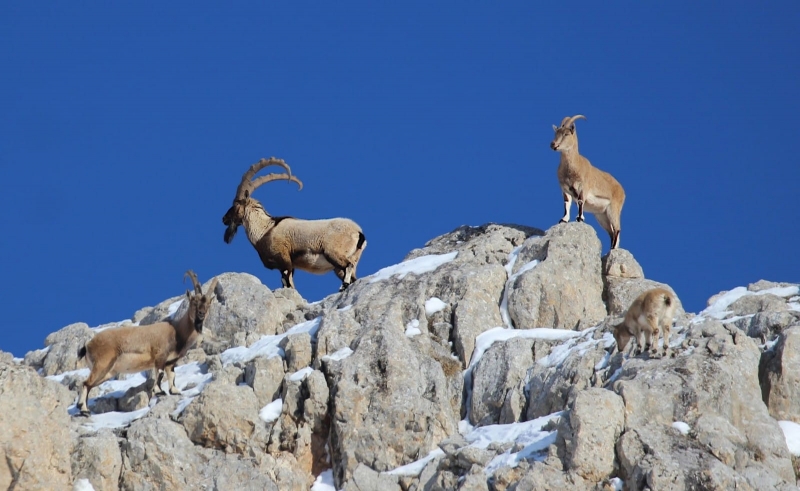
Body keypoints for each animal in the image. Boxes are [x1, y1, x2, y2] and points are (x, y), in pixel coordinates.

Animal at [75, 270, 217, 418]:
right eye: (194, 302)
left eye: (208, 304)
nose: (201, 314)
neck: (177, 332)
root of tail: (88, 345)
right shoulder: (160, 356)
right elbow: (160, 374)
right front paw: (159, 391)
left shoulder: (170, 362)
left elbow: (172, 376)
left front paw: (174, 391)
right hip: (102, 364)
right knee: (85, 383)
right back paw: (84, 410)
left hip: (107, 372)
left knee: (89, 385)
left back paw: (82, 408)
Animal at [220, 160, 368, 294]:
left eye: (236, 205)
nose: (224, 219)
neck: (265, 230)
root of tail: (358, 233)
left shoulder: (284, 259)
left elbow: (287, 282)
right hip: (346, 262)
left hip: (333, 253)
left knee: (348, 266)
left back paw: (343, 286)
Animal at [552, 116, 624, 250]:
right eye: (556, 133)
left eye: (566, 134)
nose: (553, 144)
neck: (574, 166)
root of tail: (622, 191)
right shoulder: (565, 189)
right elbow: (566, 203)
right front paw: (564, 220)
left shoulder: (583, 188)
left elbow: (580, 202)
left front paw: (579, 218)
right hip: (601, 215)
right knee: (611, 232)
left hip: (613, 209)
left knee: (617, 229)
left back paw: (612, 249)